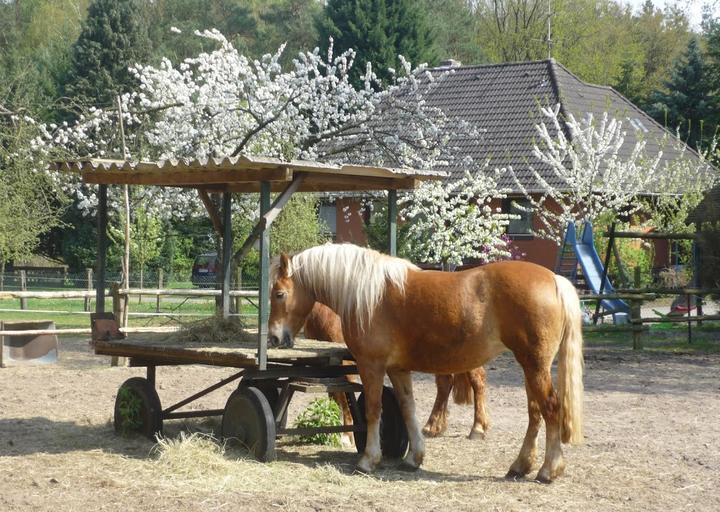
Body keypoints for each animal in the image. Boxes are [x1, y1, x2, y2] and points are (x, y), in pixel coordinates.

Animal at [304, 302, 490, 442]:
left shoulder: (346, 361)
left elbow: (344, 398)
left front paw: (346, 436)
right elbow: (335, 397)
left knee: (477, 380)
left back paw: (477, 428)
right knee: (445, 384)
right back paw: (432, 427)